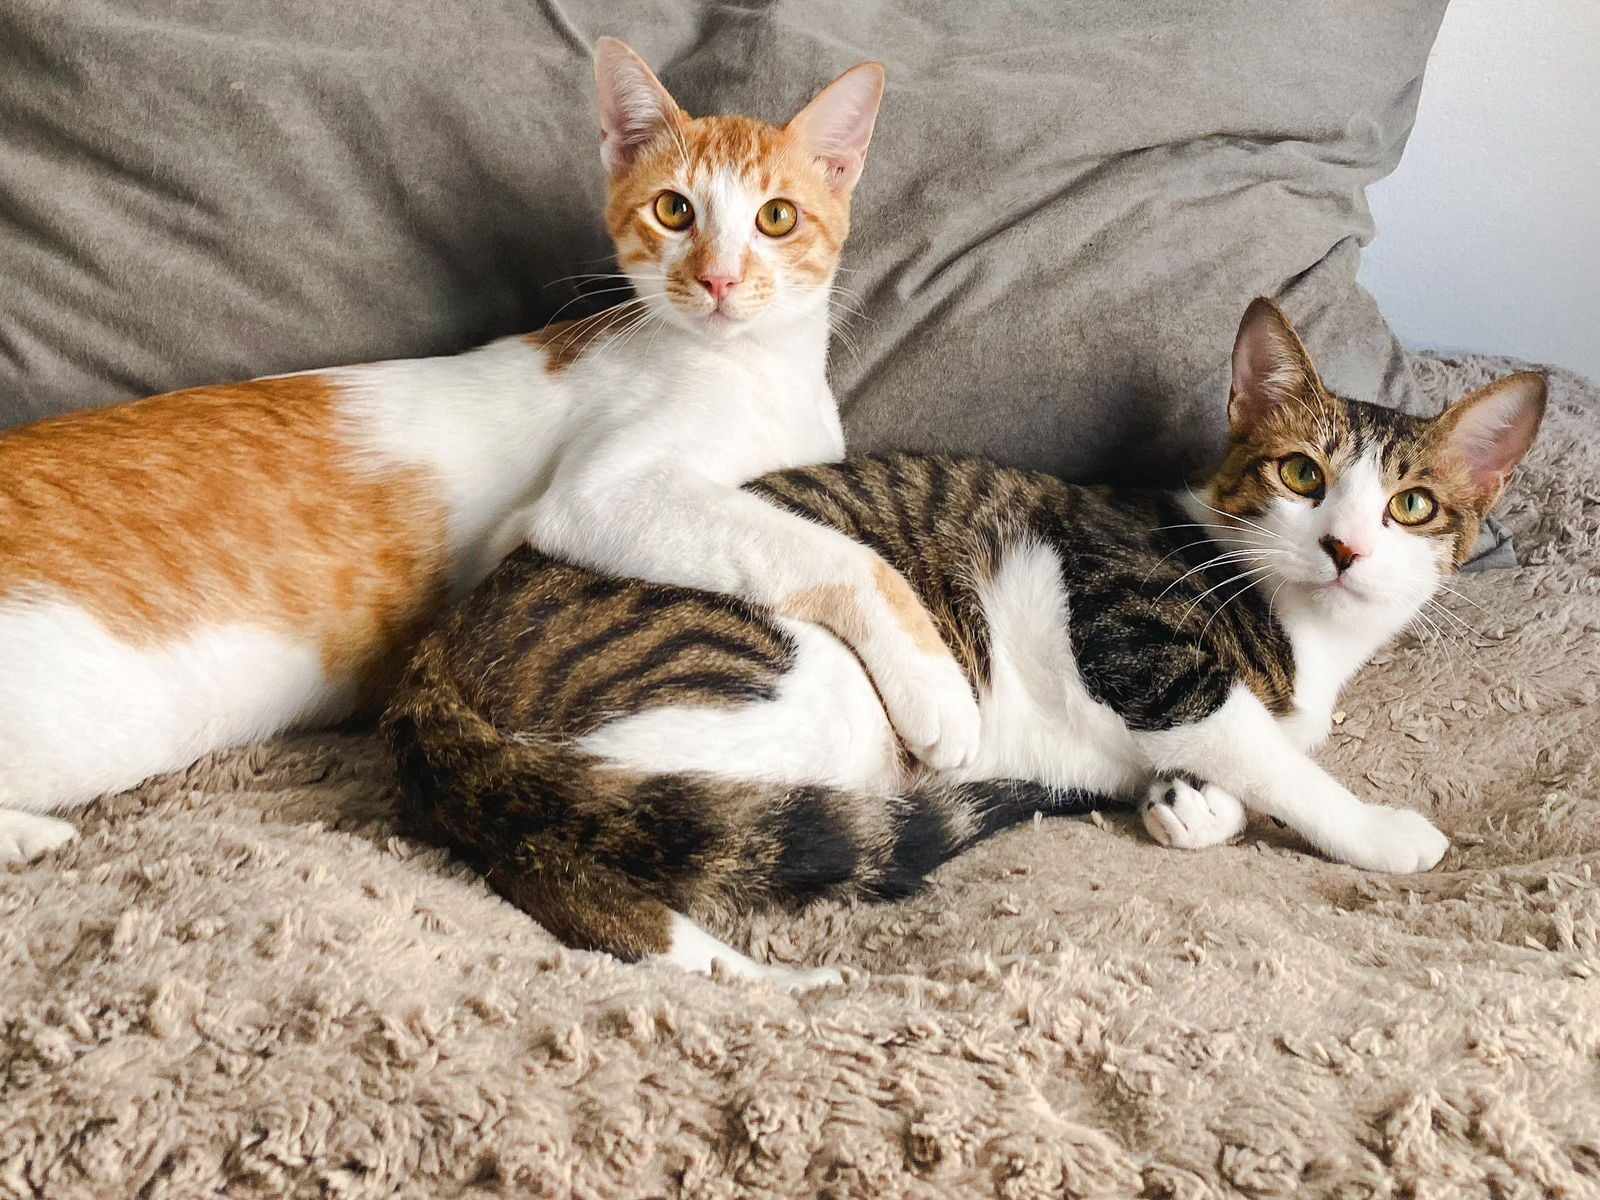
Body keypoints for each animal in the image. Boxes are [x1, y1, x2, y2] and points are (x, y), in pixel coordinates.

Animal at [0, 38, 979, 863]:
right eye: (675, 210)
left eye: (777, 218)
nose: (719, 279)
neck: (750, 366)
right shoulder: (599, 493)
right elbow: (831, 552)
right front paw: (938, 690)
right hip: (100, 711)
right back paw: (32, 837)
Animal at [383, 298, 1546, 990]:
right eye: (1301, 474)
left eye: (1411, 505)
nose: (1346, 547)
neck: (1307, 638)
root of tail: (431, 662)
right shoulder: (1135, 641)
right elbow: (1269, 755)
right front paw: (1378, 829)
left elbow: (1234, 770)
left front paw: (1189, 805)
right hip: (798, 692)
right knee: (579, 837)